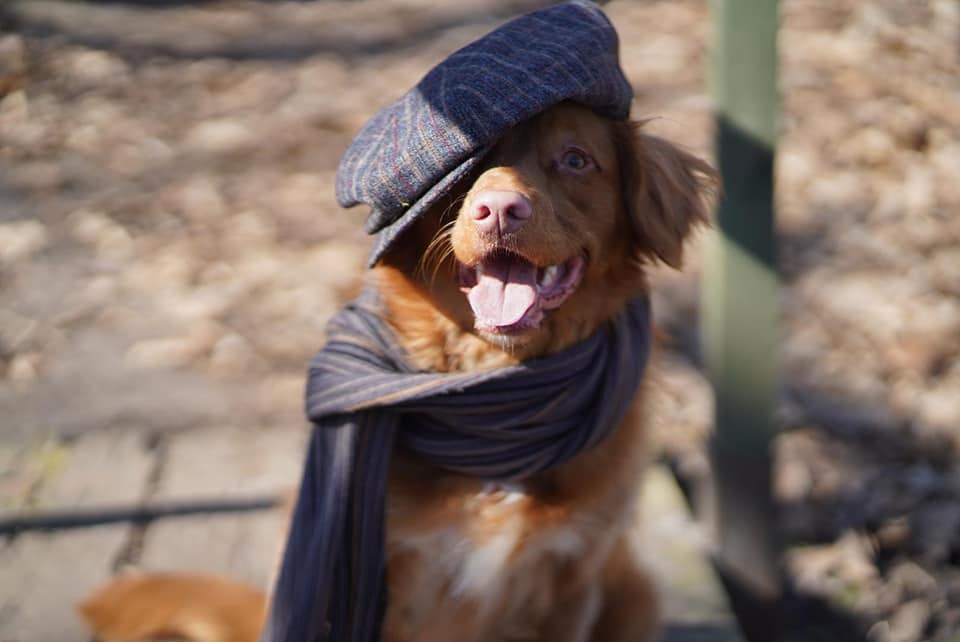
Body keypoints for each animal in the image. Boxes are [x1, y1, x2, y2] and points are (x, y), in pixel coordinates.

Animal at [80, 96, 712, 640]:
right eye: (466, 170)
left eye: (577, 159)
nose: (498, 211)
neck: (493, 407)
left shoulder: (571, 581)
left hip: (634, 592)